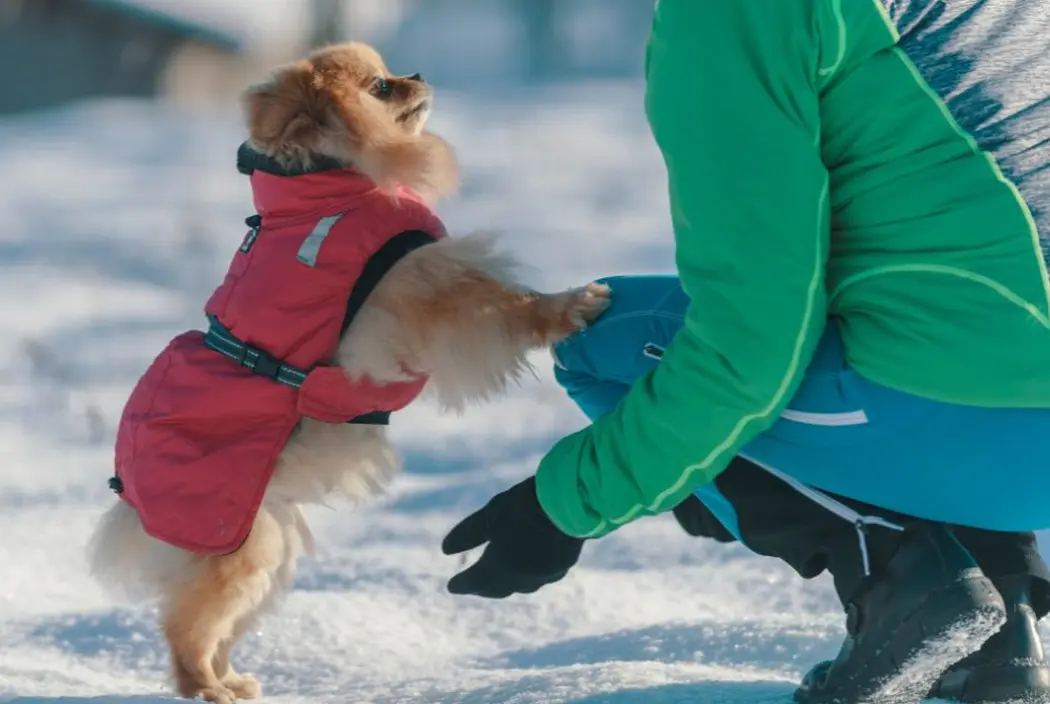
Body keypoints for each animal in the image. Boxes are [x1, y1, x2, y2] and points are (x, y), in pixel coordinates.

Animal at [86, 41, 613, 701]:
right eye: (380, 86)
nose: (417, 74)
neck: (329, 185)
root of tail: (127, 495)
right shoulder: (433, 286)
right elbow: (513, 305)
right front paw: (571, 307)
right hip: (240, 546)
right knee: (186, 626)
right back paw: (207, 687)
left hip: (270, 540)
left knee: (218, 624)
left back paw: (236, 681)